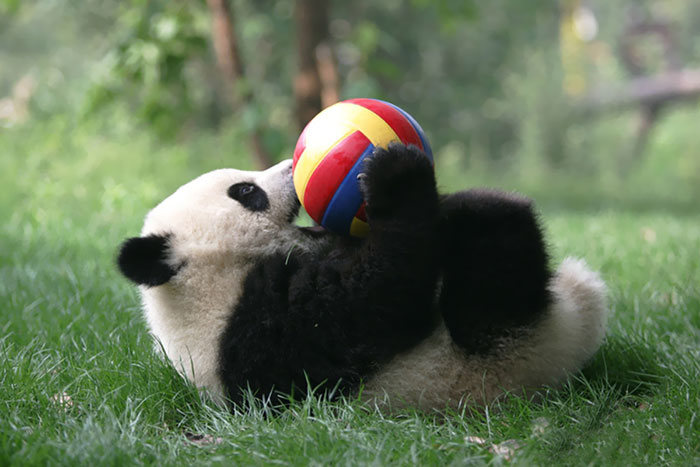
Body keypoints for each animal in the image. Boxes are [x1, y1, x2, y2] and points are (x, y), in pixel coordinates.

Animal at [117, 144, 604, 412]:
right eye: (245, 192)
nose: (291, 165)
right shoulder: (263, 332)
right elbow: (377, 299)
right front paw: (397, 175)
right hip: (493, 351)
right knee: (496, 276)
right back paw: (484, 210)